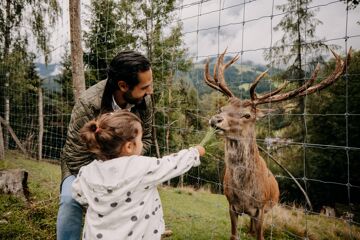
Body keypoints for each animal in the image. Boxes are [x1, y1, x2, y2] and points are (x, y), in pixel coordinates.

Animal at [205, 48, 352, 240]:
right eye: (221, 108)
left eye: (247, 115)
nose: (216, 119)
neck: (245, 193)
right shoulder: (231, 204)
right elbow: (234, 235)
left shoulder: (260, 208)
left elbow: (260, 236)